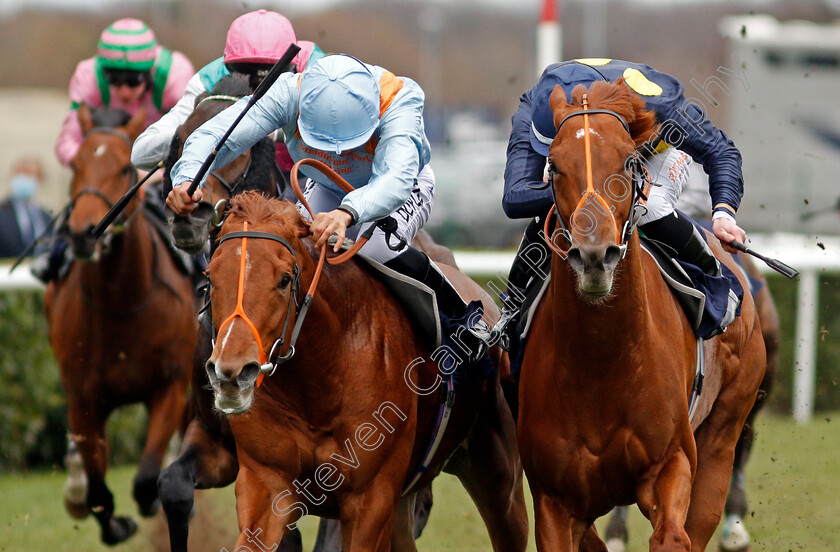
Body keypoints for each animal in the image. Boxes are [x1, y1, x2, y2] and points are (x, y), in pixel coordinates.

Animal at [46, 105, 197, 544]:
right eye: (75, 165)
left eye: (124, 169)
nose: (83, 233)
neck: (120, 305)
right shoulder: (83, 397)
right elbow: (97, 489)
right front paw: (116, 523)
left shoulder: (170, 385)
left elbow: (145, 479)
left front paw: (150, 504)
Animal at [202, 191, 524, 552]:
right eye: (210, 278)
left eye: (284, 280)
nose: (231, 374)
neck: (317, 387)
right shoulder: (266, 484)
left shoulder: (371, 497)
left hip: (499, 475)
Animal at [516, 82, 764, 552]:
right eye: (554, 167)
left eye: (628, 161)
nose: (595, 257)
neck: (601, 364)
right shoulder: (555, 501)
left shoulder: (672, 465)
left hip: (723, 434)